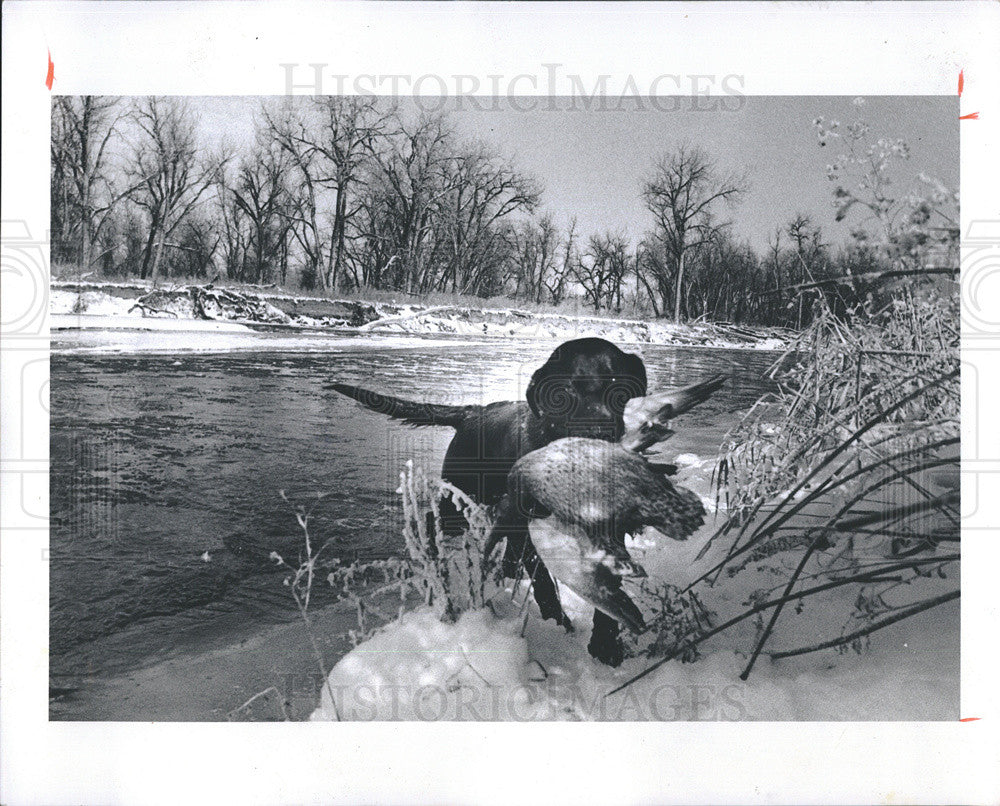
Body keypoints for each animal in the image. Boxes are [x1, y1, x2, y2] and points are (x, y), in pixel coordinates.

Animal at [334, 338, 648, 664]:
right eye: (565, 391)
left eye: (620, 388)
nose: (599, 432)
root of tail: (471, 413)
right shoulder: (526, 524)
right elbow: (545, 584)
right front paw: (560, 623)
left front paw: (606, 645)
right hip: (460, 501)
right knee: (434, 522)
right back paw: (434, 564)